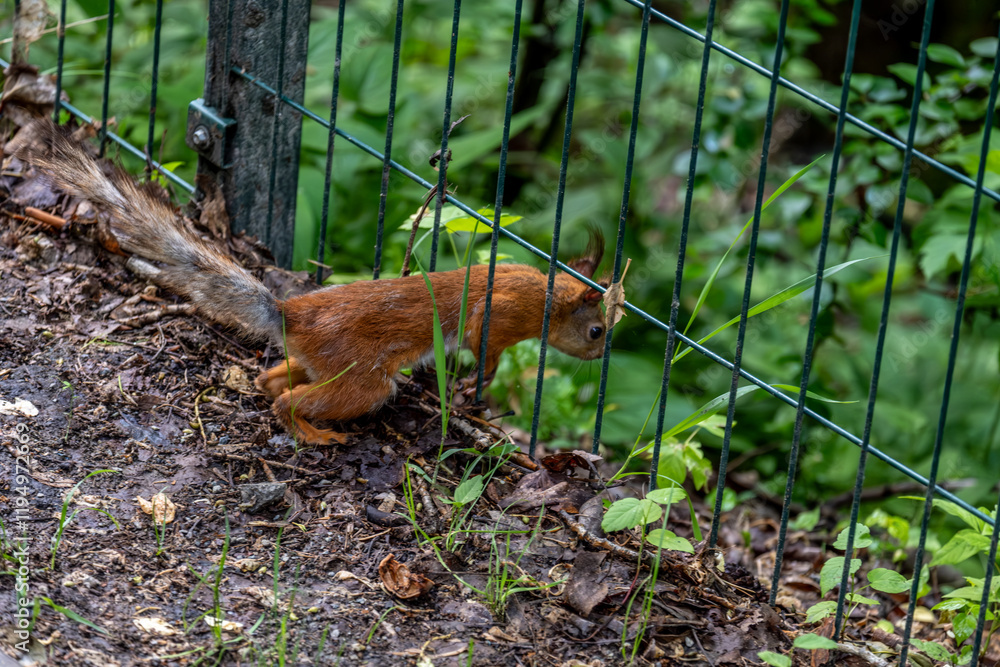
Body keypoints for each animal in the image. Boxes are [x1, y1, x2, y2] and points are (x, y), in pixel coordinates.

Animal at [16, 122, 608, 445]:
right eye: (598, 330)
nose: (601, 357)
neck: (549, 296)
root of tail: (291, 313)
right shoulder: (504, 310)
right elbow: (487, 344)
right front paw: (479, 380)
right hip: (364, 379)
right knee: (290, 400)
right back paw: (312, 432)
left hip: (322, 360)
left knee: (273, 381)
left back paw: (280, 394)